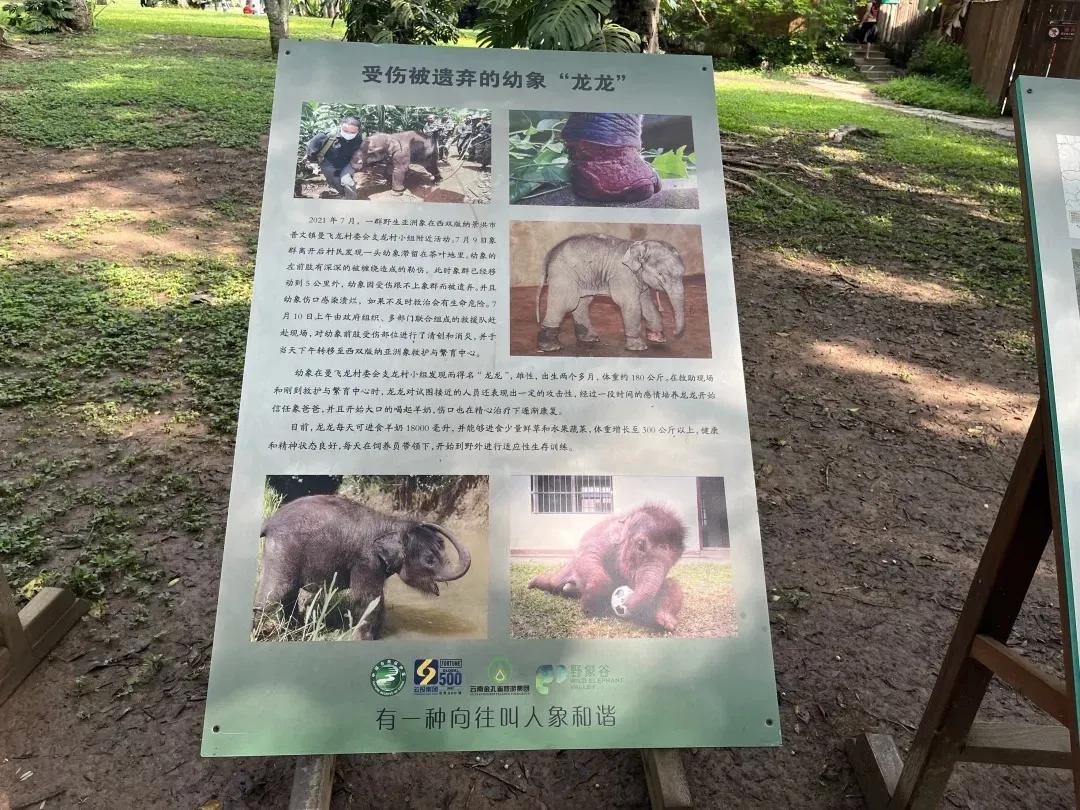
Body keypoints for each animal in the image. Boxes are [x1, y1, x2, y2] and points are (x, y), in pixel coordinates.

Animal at [255, 494, 471, 640]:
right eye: (429, 560)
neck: (392, 523)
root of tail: (269, 522)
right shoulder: (366, 561)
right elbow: (367, 599)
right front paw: (363, 639)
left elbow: (378, 600)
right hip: (281, 552)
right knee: (275, 594)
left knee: (288, 595)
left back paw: (296, 630)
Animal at [528, 504, 686, 631]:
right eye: (641, 545)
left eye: (675, 559)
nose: (626, 600)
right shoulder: (599, 539)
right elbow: (588, 559)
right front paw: (588, 608)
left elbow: (673, 584)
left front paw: (665, 622)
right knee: (554, 582)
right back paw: (533, 583)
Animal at [535, 234, 687, 352]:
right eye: (661, 274)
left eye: (682, 274)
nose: (674, 333)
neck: (638, 244)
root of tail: (550, 253)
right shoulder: (622, 275)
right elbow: (630, 305)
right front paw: (639, 348)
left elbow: (646, 304)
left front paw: (658, 338)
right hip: (564, 274)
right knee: (566, 303)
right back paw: (551, 347)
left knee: (582, 303)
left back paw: (590, 339)